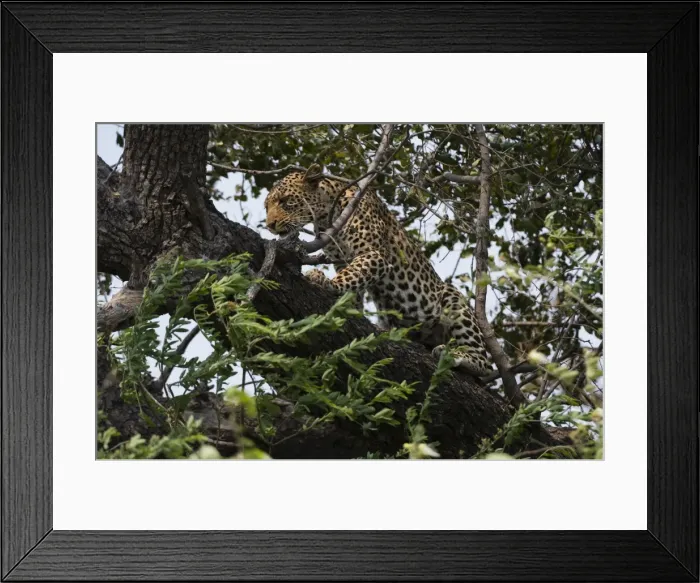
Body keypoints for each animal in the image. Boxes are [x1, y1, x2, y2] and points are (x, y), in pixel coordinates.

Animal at [264, 164, 493, 377]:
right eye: (267, 207)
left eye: (285, 200)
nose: (270, 225)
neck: (327, 213)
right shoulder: (341, 259)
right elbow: (354, 284)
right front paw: (347, 303)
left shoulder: (375, 254)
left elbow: (353, 274)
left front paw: (326, 282)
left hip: (454, 300)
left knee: (483, 362)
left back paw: (455, 355)